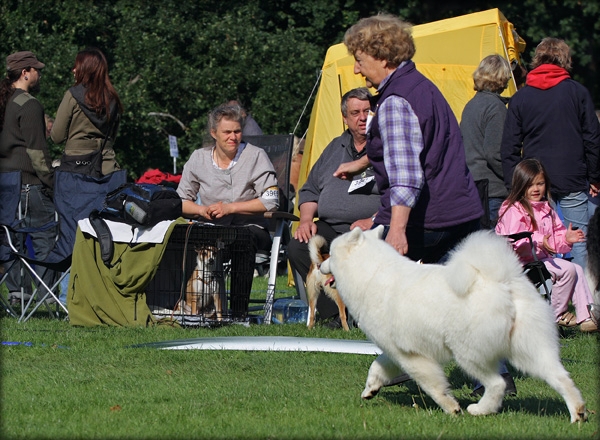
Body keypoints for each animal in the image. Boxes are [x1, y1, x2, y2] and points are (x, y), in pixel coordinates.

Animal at [322, 227, 588, 422]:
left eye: (330, 254)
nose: (321, 265)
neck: (372, 274)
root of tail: (503, 283)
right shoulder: (395, 350)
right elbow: (377, 367)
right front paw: (371, 389)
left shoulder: (411, 355)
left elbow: (433, 385)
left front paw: (451, 408)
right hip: (530, 350)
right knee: (561, 377)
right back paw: (578, 413)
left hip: (468, 354)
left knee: (497, 383)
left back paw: (480, 410)